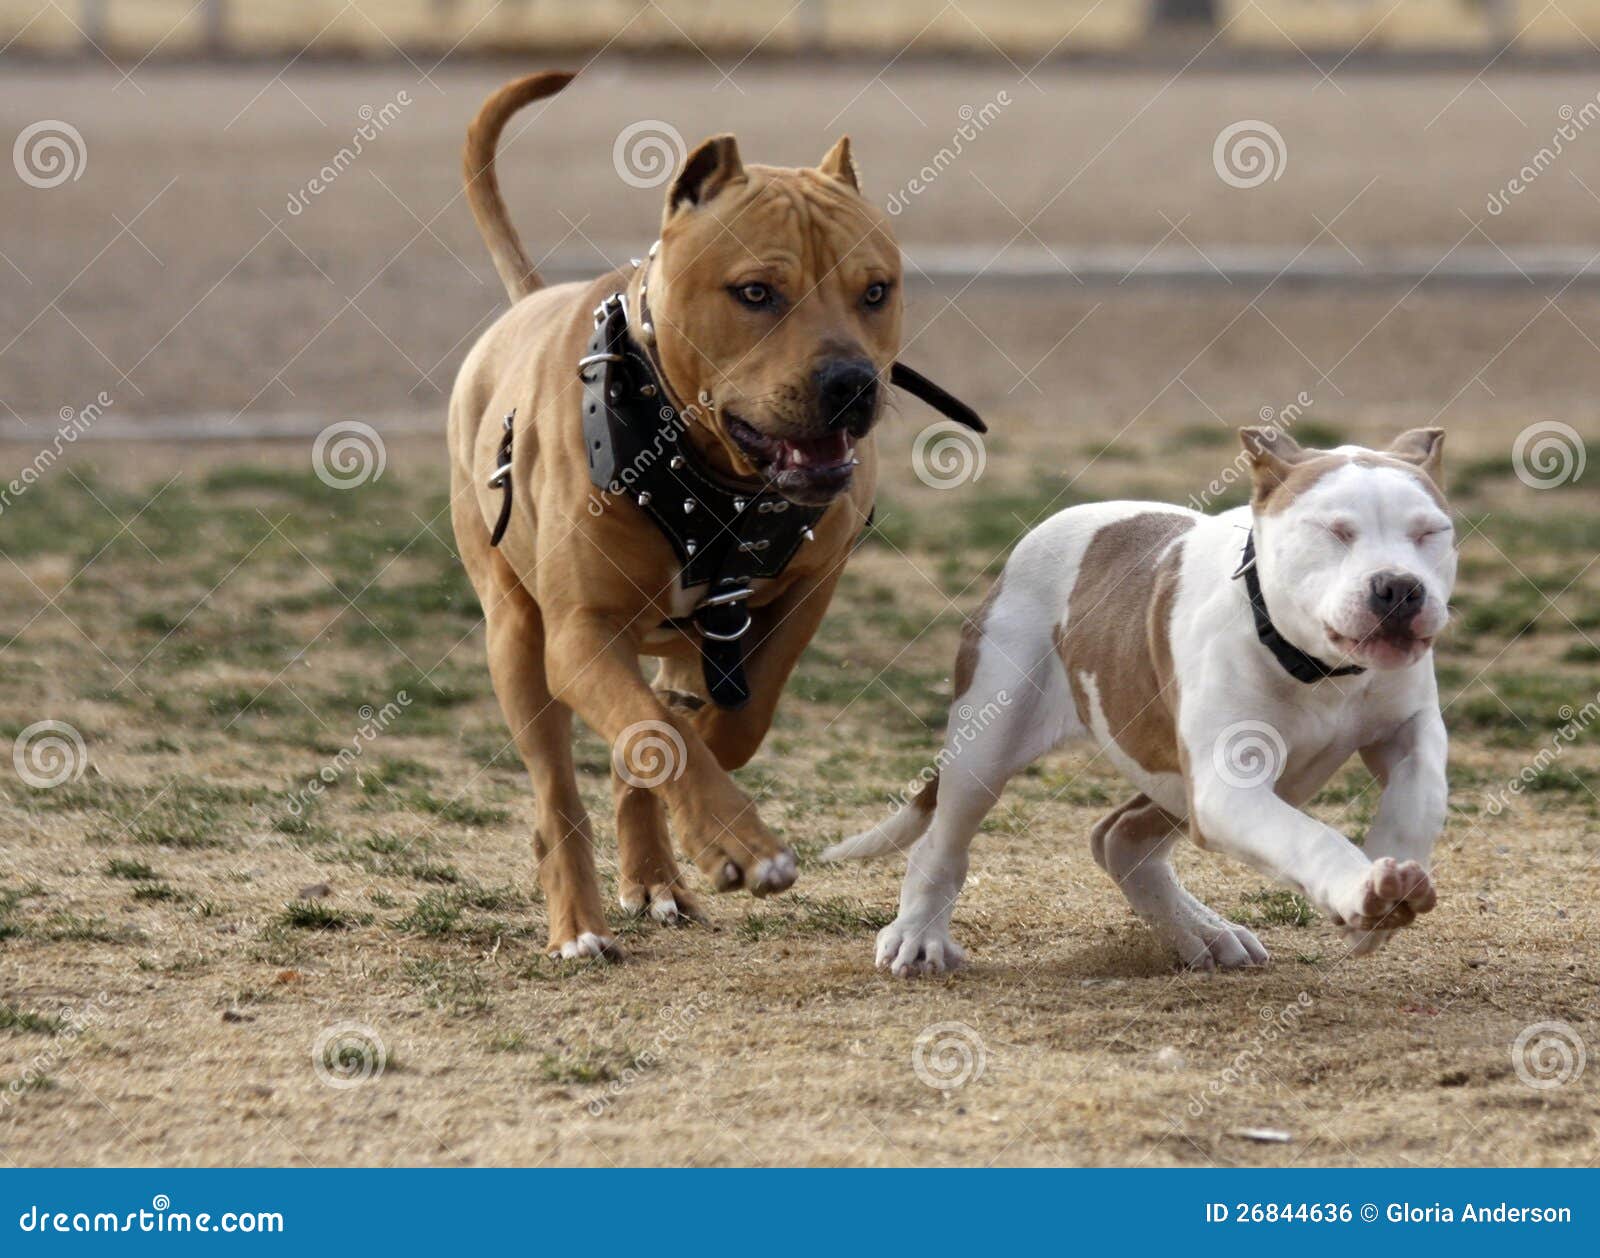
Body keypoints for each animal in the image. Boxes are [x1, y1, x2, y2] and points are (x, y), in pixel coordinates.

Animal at [444, 73, 908, 953]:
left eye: (876, 292)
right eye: (756, 293)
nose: (851, 384)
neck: (713, 478)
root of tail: (527, 306)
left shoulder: (810, 589)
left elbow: (735, 718)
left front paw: (712, 797)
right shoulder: (580, 634)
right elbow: (656, 732)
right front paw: (736, 840)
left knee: (651, 738)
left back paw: (655, 876)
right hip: (515, 637)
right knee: (558, 791)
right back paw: (578, 925)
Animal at [832, 425, 1459, 973]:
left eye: (1430, 533)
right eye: (1336, 532)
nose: (1399, 587)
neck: (1319, 669)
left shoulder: (1409, 729)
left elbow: (1421, 797)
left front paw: (1385, 887)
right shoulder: (1228, 785)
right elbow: (1307, 836)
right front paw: (1360, 886)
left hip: (1172, 773)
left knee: (1119, 838)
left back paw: (1204, 933)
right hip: (988, 743)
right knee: (942, 842)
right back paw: (919, 938)